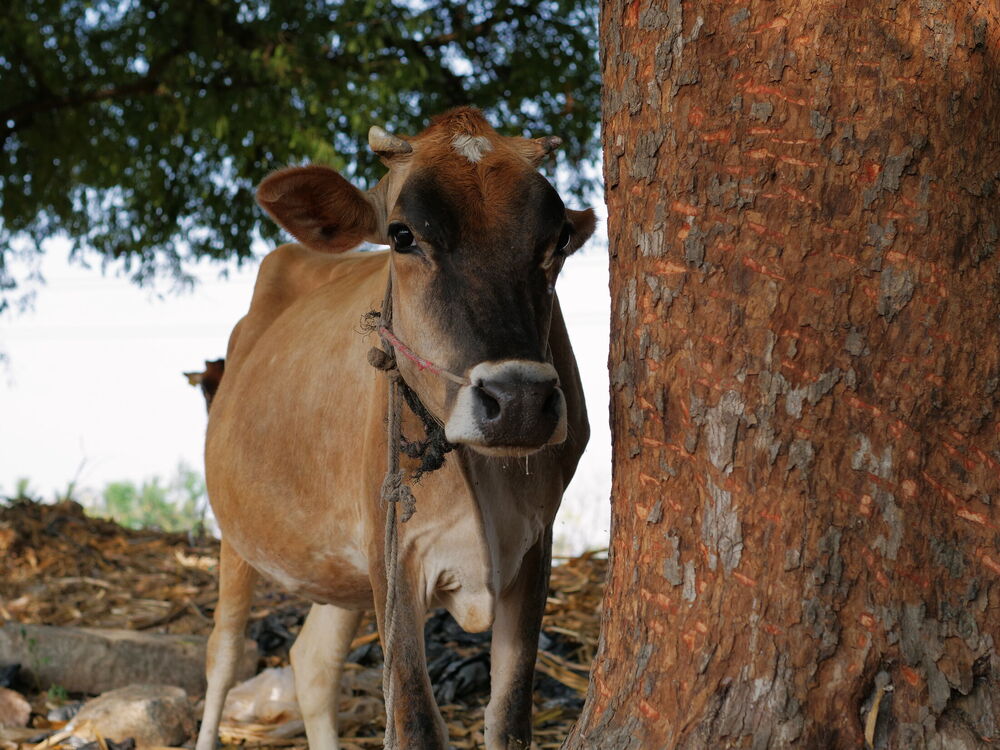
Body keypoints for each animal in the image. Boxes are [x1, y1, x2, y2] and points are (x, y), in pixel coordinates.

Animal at [195, 107, 596, 750]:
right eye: (403, 235)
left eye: (558, 240)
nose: (518, 401)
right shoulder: (397, 557)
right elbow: (414, 721)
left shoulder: (535, 547)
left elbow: (510, 718)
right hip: (238, 535)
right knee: (224, 655)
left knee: (312, 664)